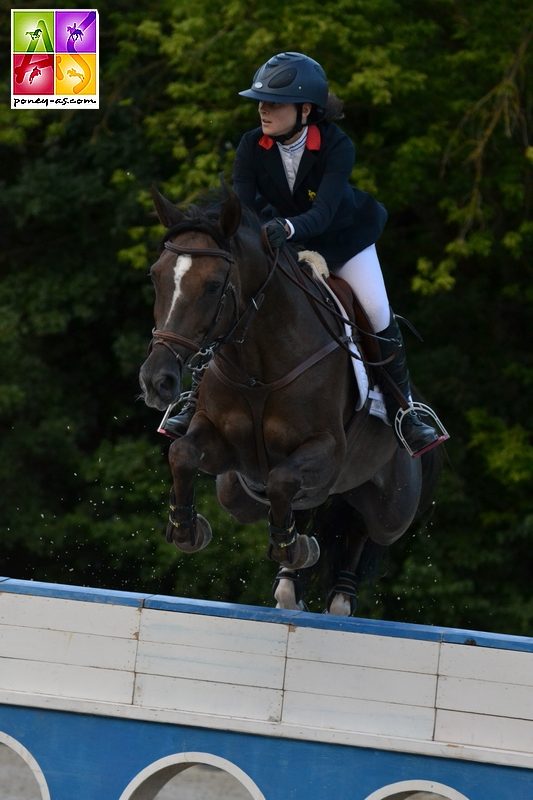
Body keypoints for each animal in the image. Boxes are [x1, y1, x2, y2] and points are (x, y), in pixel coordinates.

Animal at [138, 188, 440, 612]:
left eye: (213, 286)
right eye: (156, 276)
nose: (156, 382)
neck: (258, 368)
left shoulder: (327, 451)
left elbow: (281, 479)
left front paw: (293, 549)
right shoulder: (221, 445)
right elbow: (182, 453)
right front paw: (187, 530)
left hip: (392, 508)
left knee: (363, 530)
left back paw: (340, 596)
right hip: (237, 491)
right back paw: (289, 586)